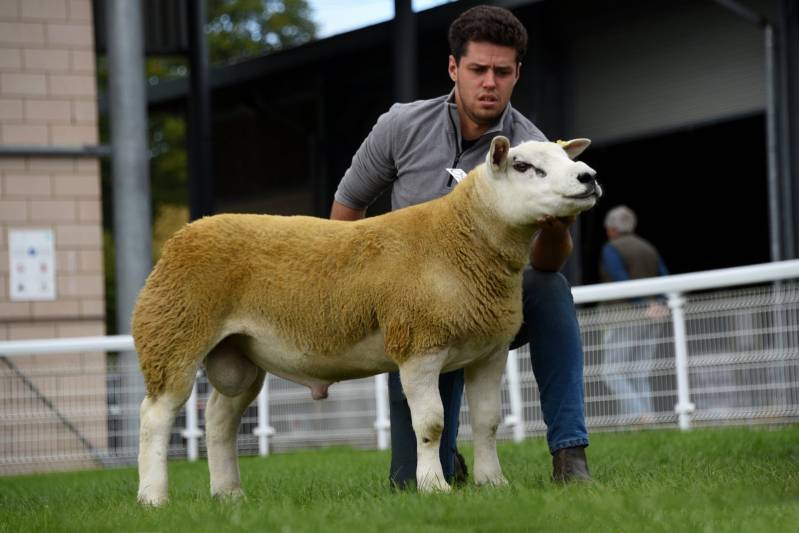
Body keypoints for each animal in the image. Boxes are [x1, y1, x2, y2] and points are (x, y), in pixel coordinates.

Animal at [133, 136, 600, 506]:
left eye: (564, 156)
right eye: (523, 166)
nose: (588, 177)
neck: (459, 240)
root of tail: (184, 234)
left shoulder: (490, 350)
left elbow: (487, 421)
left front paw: (493, 483)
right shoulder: (419, 343)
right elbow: (431, 423)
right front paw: (434, 487)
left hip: (239, 355)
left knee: (219, 418)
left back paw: (228, 494)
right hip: (174, 332)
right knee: (155, 415)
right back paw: (153, 498)